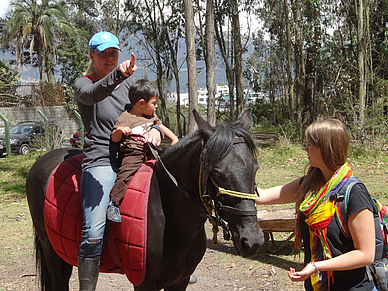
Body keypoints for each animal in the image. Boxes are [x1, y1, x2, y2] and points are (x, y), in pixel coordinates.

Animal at [26, 110, 264, 290]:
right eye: (217, 173)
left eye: (255, 168)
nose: (252, 241)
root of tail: (42, 161)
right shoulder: (144, 283)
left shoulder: (180, 281)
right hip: (51, 250)